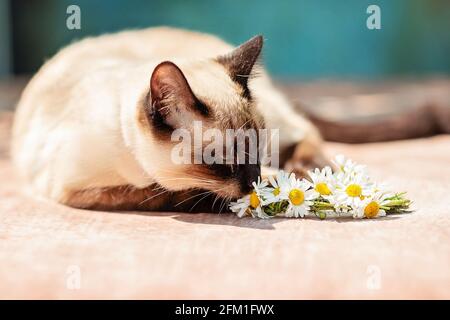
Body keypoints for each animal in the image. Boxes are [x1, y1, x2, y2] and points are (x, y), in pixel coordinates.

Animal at [11, 27, 326, 212]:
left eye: (257, 148)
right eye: (220, 159)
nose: (255, 180)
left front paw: (287, 180)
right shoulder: (78, 190)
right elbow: (173, 193)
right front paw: (274, 184)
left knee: (306, 130)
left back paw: (309, 169)